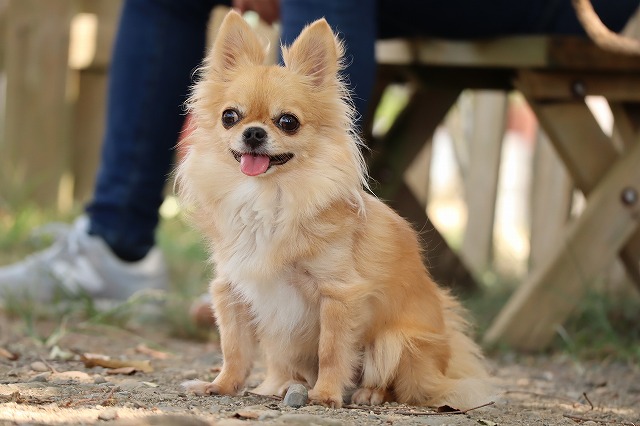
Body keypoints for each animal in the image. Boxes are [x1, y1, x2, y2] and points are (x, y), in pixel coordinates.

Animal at [177, 11, 492, 409]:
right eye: (229, 117)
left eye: (288, 122)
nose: (253, 132)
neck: (269, 197)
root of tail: (445, 360)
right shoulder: (232, 289)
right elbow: (233, 348)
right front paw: (221, 385)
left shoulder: (339, 295)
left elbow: (331, 350)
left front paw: (326, 394)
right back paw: (281, 384)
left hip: (395, 341)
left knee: (400, 383)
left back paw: (368, 392)